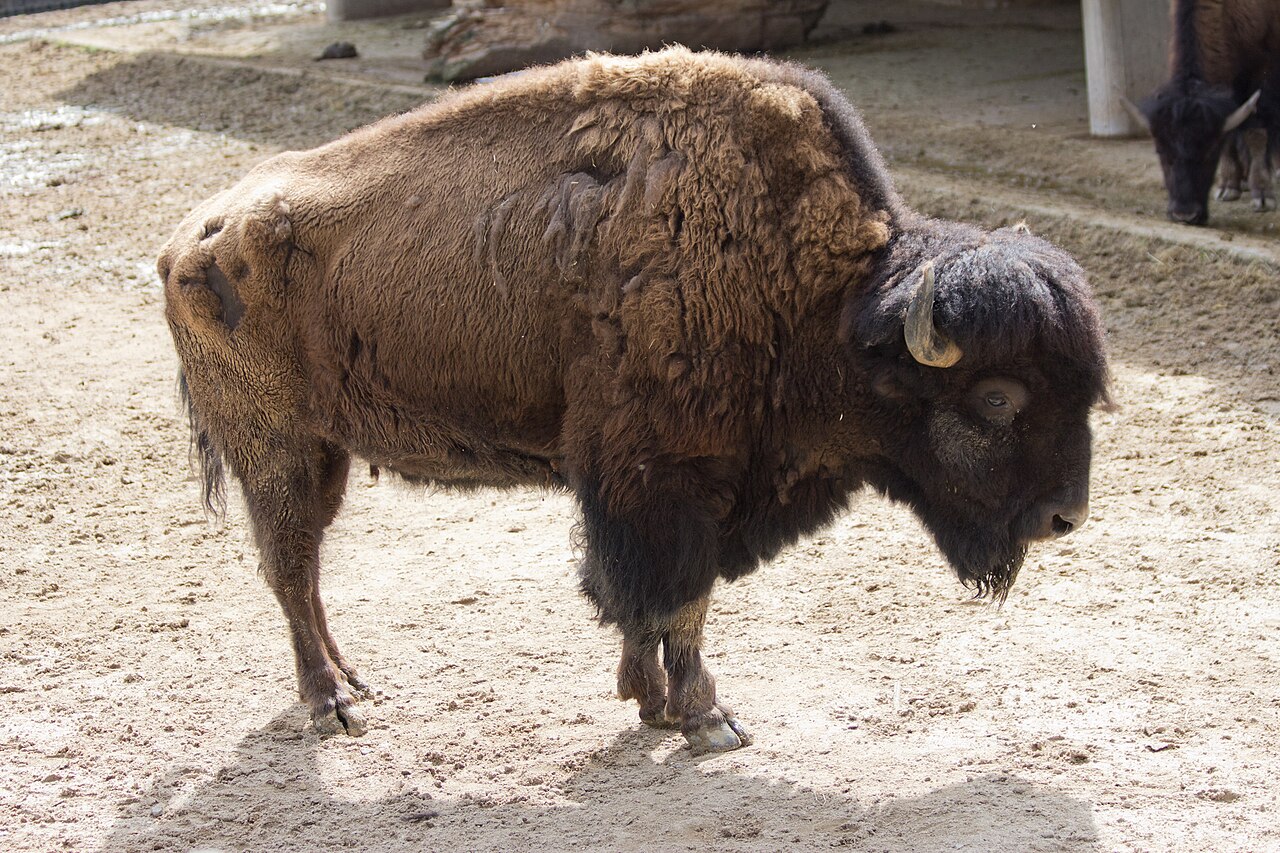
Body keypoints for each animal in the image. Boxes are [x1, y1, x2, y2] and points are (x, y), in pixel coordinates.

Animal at [160, 47, 1110, 753]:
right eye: (996, 398)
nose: (1065, 518)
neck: (826, 298)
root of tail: (189, 239)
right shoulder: (670, 480)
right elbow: (677, 598)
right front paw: (708, 719)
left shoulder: (653, 487)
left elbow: (637, 600)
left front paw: (650, 703)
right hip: (277, 448)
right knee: (289, 566)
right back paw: (332, 706)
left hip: (324, 452)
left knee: (306, 569)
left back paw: (356, 682)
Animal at [1125, 0, 1279, 224]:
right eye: (1161, 151)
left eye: (1209, 154)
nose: (1184, 214)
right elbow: (1231, 134)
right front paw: (1228, 187)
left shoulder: (1262, 73)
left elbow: (1256, 133)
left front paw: (1263, 196)